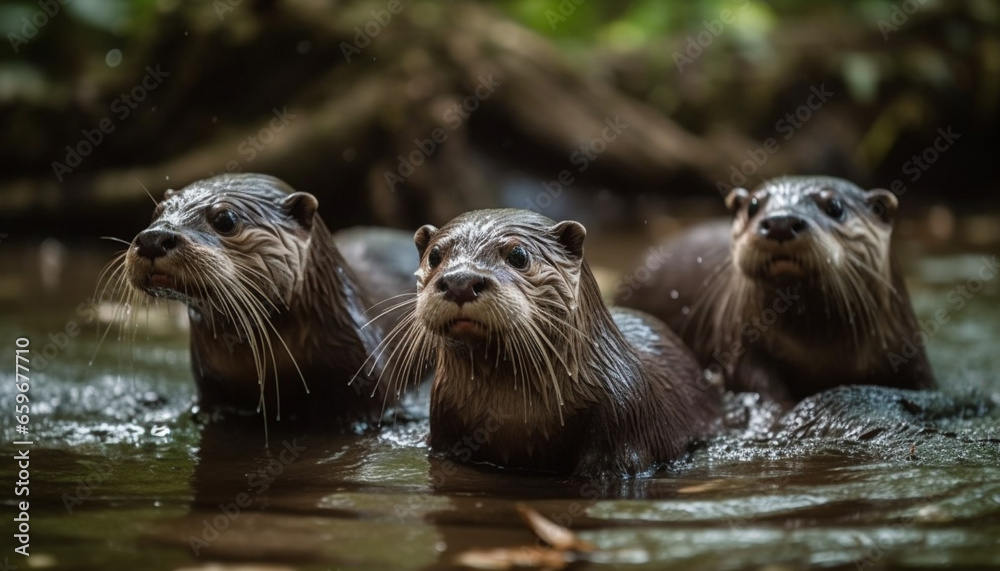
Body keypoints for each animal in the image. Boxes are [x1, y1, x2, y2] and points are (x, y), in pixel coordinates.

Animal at [380, 210, 720, 478]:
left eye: (518, 255)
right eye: (435, 255)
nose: (460, 281)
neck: (515, 416)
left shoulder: (623, 423)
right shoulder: (444, 432)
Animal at [616, 175, 936, 402]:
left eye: (835, 207)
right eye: (754, 205)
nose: (781, 222)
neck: (819, 353)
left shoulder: (913, 360)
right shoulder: (739, 342)